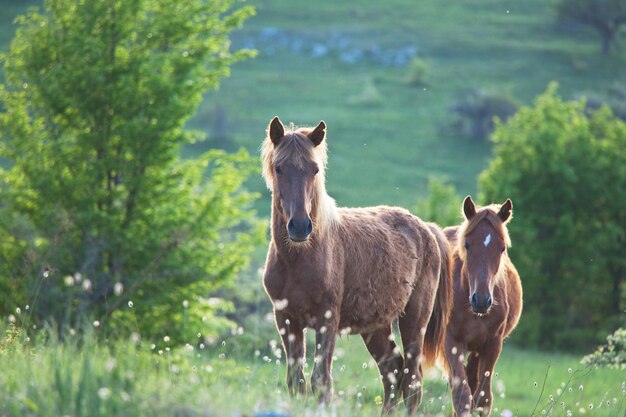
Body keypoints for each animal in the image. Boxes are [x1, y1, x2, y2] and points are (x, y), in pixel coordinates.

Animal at [258, 116, 448, 412]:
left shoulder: (327, 319)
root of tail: (426, 228)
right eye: (279, 168)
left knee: (412, 382)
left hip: (414, 321)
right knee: (392, 370)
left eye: (314, 169)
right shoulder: (286, 319)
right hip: (376, 327)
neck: (298, 260)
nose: (300, 226)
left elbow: (321, 380)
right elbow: (296, 381)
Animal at [438, 196, 520, 416]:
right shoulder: (452, 342)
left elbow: (482, 399)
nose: (481, 300)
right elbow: (461, 396)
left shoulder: (492, 344)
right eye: (467, 245)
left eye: (502, 248)